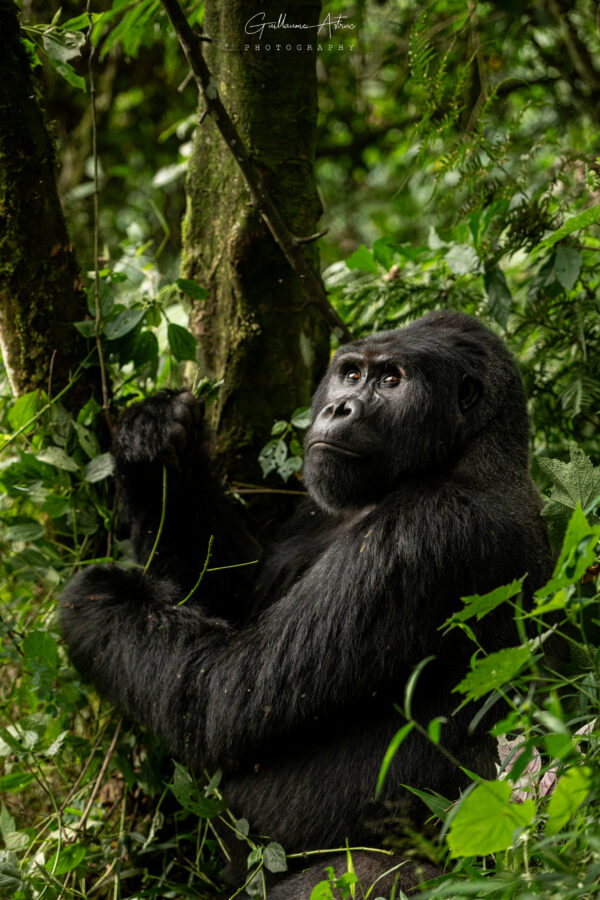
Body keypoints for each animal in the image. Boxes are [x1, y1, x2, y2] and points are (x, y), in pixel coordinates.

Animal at [61, 312, 552, 900]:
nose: (337, 409)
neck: (468, 454)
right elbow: (226, 598)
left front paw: (96, 599)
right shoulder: (315, 503)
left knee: (371, 874)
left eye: (391, 380)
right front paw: (154, 448)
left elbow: (220, 698)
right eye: (351, 373)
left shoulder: (427, 533)